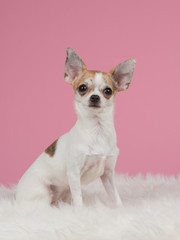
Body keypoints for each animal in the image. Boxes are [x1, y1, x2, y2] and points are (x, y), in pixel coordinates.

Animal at [16, 48, 136, 206]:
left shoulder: (108, 174)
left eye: (108, 91)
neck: (97, 130)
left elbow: (115, 197)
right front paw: (80, 211)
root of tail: (15, 195)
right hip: (42, 192)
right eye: (82, 88)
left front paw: (120, 208)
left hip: (65, 191)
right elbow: (79, 199)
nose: (95, 97)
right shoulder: (74, 174)